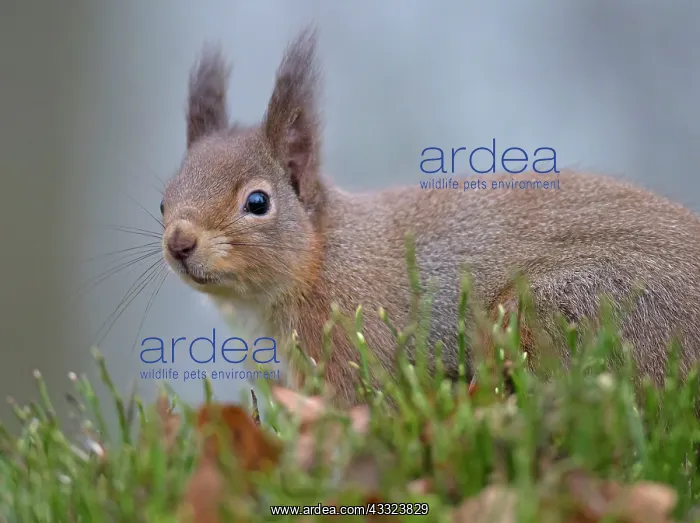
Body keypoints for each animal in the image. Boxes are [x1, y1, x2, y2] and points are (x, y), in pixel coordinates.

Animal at [160, 27, 700, 405]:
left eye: (257, 203)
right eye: (163, 200)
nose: (179, 242)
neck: (324, 254)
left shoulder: (351, 339)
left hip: (570, 305)